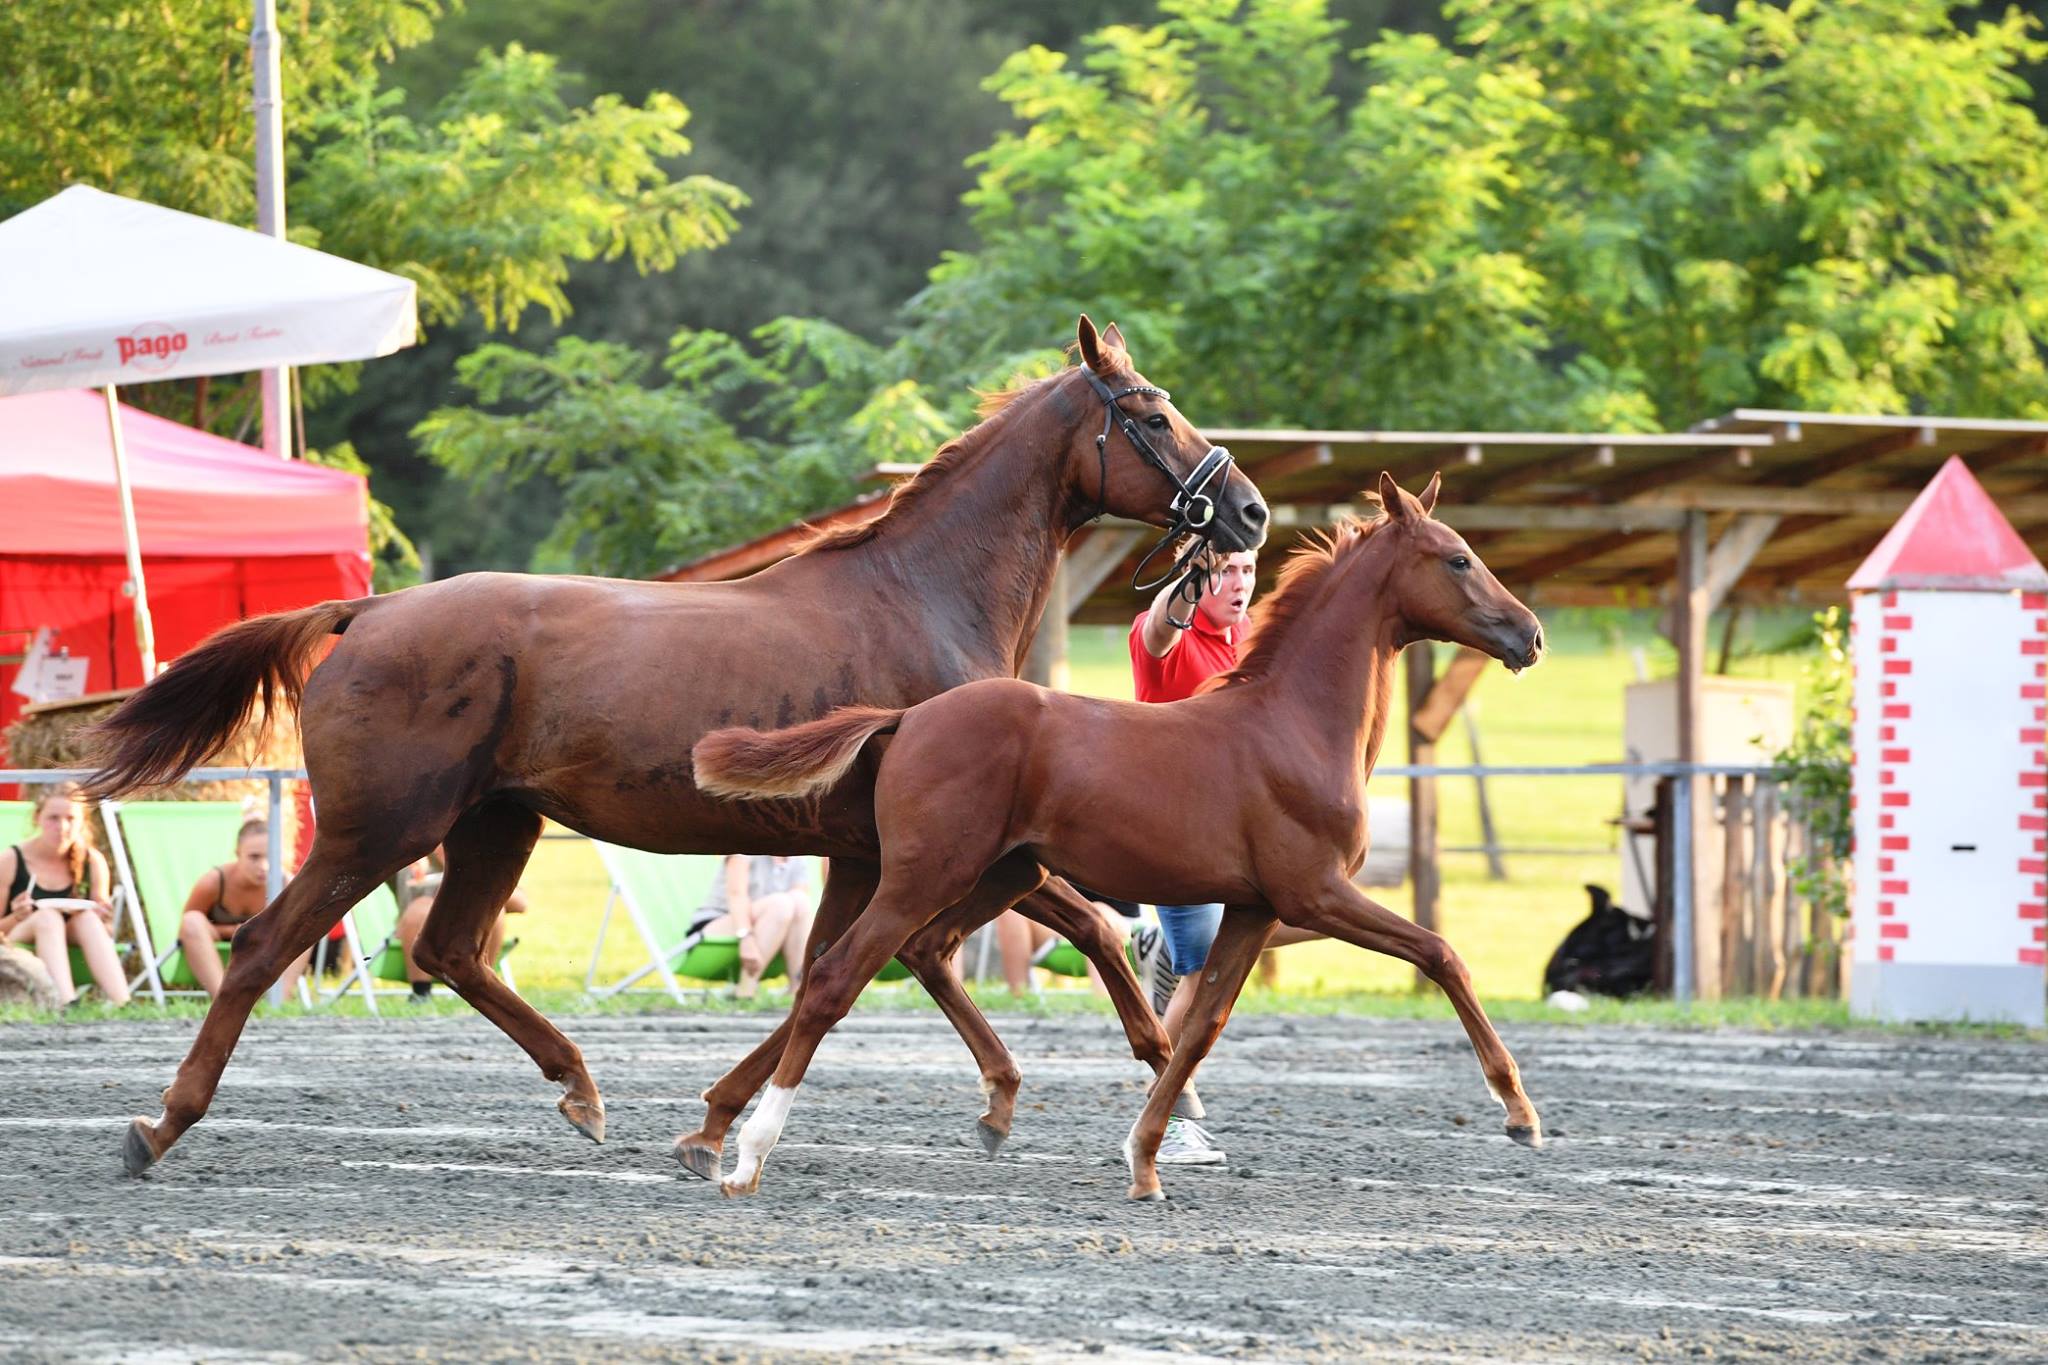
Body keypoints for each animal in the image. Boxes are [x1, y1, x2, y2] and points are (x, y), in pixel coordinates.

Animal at [704, 474, 1548, 1203]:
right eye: (1458, 557)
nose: (1532, 636)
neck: (1293, 725)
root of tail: (907, 717)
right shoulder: (1315, 892)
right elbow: (1441, 953)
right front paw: (1520, 1113)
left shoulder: (1255, 907)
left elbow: (1200, 1028)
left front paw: (1144, 1160)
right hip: (925, 873)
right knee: (833, 976)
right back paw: (747, 1155)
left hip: (1002, 877)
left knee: (921, 951)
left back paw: (983, 1110)